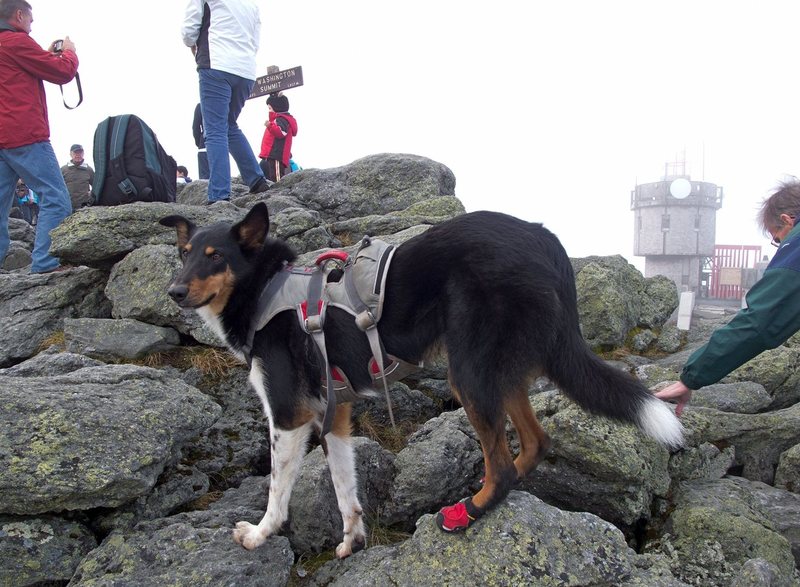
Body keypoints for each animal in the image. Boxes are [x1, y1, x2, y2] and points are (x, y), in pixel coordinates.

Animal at [159, 204, 684, 560]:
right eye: (183, 254)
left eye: (215, 257)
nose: (175, 291)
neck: (264, 290)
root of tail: (543, 238)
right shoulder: (336, 415)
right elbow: (345, 489)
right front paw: (352, 540)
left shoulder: (288, 416)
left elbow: (276, 491)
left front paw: (259, 534)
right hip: (496, 369)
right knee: (535, 441)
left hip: (468, 370)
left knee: (502, 464)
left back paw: (469, 512)